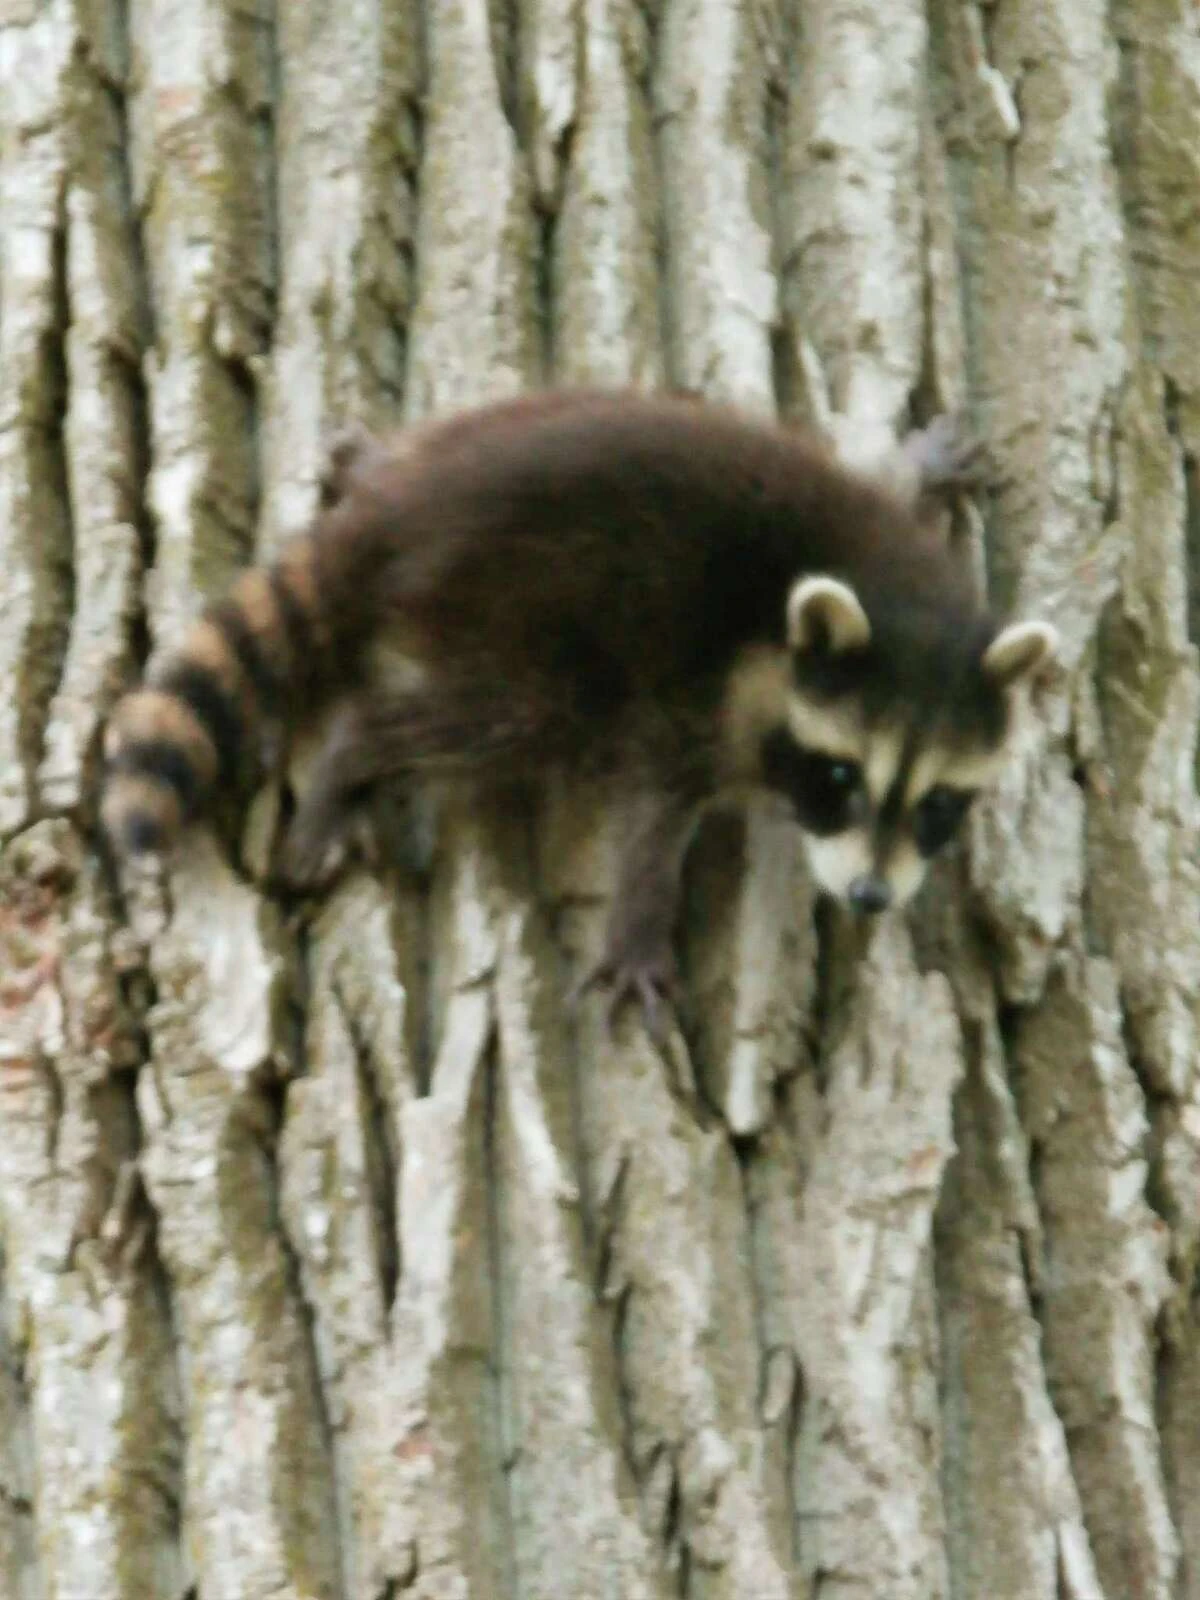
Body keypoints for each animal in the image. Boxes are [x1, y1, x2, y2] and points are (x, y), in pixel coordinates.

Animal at [101, 390, 1057, 1033]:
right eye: (838, 776)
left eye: (937, 803)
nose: (868, 897)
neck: (896, 603)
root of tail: (399, 518)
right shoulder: (698, 697)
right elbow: (652, 821)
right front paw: (637, 932)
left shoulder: (877, 535)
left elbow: (883, 482)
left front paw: (921, 464)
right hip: (512, 625)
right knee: (477, 717)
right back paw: (350, 761)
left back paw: (367, 461)